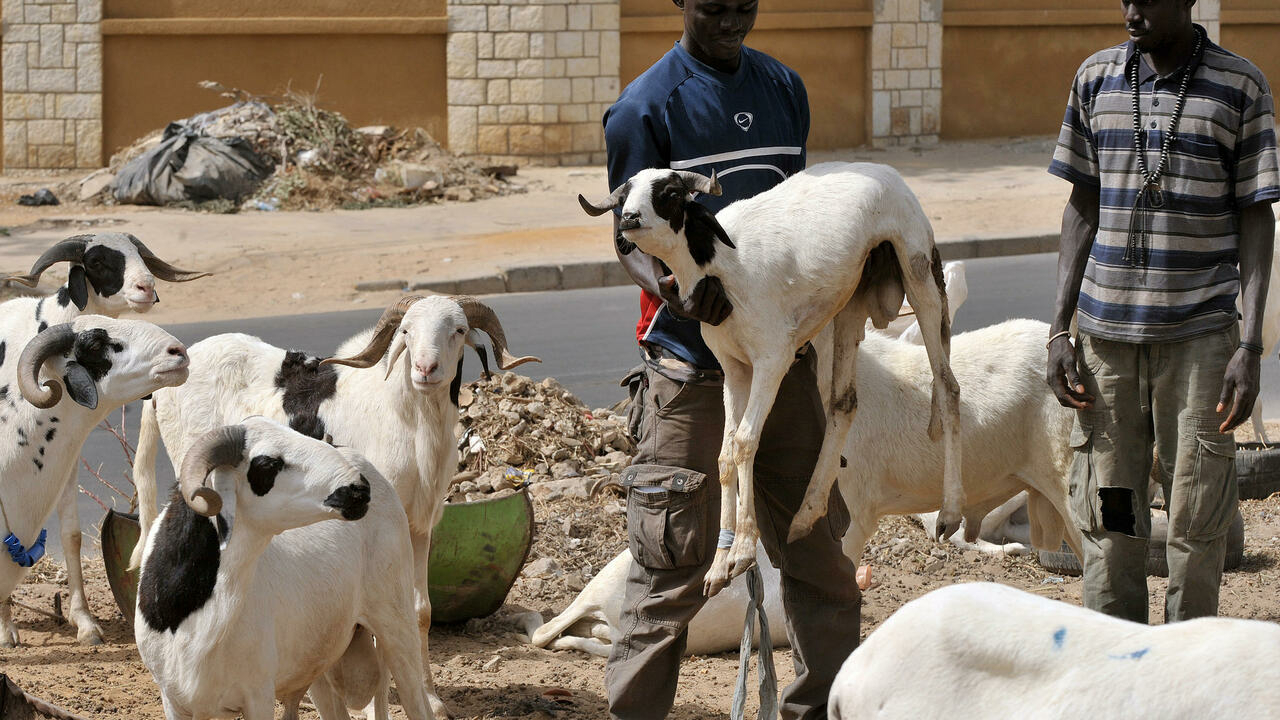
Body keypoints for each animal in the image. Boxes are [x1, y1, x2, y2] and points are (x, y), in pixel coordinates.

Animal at [1, 232, 206, 646]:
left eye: (138, 254)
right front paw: (6, 626)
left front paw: (85, 622)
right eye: (97, 260)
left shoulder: (66, 458)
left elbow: (72, 535)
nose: (147, 288)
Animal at [134, 417, 436, 720]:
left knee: (417, 704)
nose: (359, 489)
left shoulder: (258, 694)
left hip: (396, 623)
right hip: (320, 662)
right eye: (269, 463)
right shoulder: (174, 701)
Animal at [579, 162, 962, 596]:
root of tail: (885, 171)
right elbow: (724, 454)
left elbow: (746, 442)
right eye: (625, 194)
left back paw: (949, 512)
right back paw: (805, 514)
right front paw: (719, 564)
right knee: (844, 403)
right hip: (852, 299)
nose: (628, 219)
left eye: (672, 193)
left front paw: (745, 549)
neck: (723, 262)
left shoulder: (772, 358)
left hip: (920, 272)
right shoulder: (732, 367)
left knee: (947, 386)